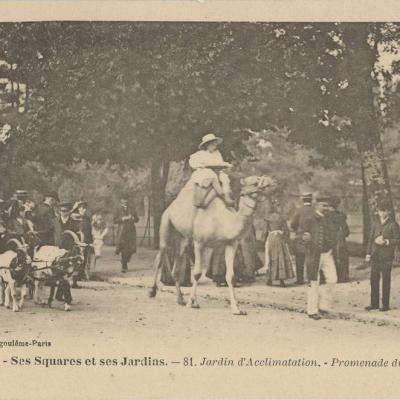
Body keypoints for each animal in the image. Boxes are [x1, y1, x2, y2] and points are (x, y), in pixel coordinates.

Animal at [148, 175, 276, 316]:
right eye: (255, 182)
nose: (272, 182)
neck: (222, 221)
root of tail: (171, 205)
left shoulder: (230, 244)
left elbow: (230, 276)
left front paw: (236, 309)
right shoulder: (199, 242)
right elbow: (197, 273)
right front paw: (191, 303)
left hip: (184, 238)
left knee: (177, 263)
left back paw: (180, 299)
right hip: (166, 222)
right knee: (161, 255)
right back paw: (152, 292)